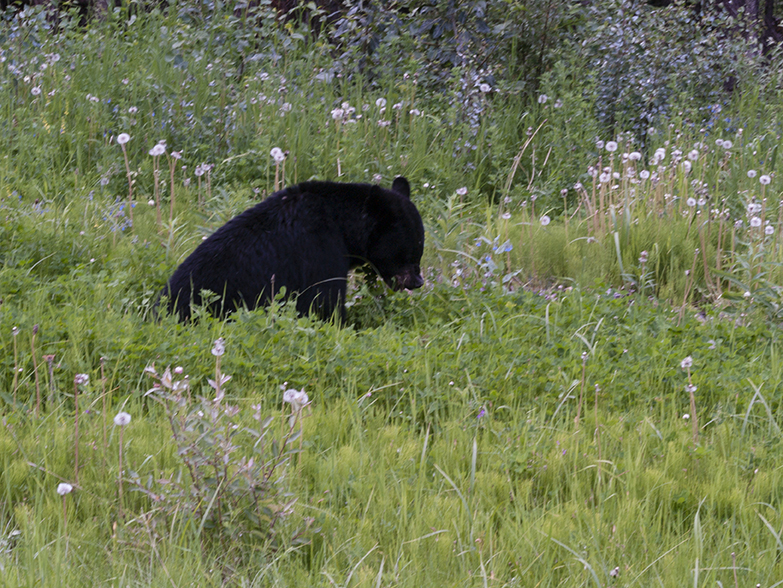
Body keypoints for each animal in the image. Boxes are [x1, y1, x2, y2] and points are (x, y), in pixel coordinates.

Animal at [162, 177, 426, 322]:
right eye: (409, 251)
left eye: (419, 248)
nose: (417, 281)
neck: (342, 225)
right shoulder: (320, 249)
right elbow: (323, 301)